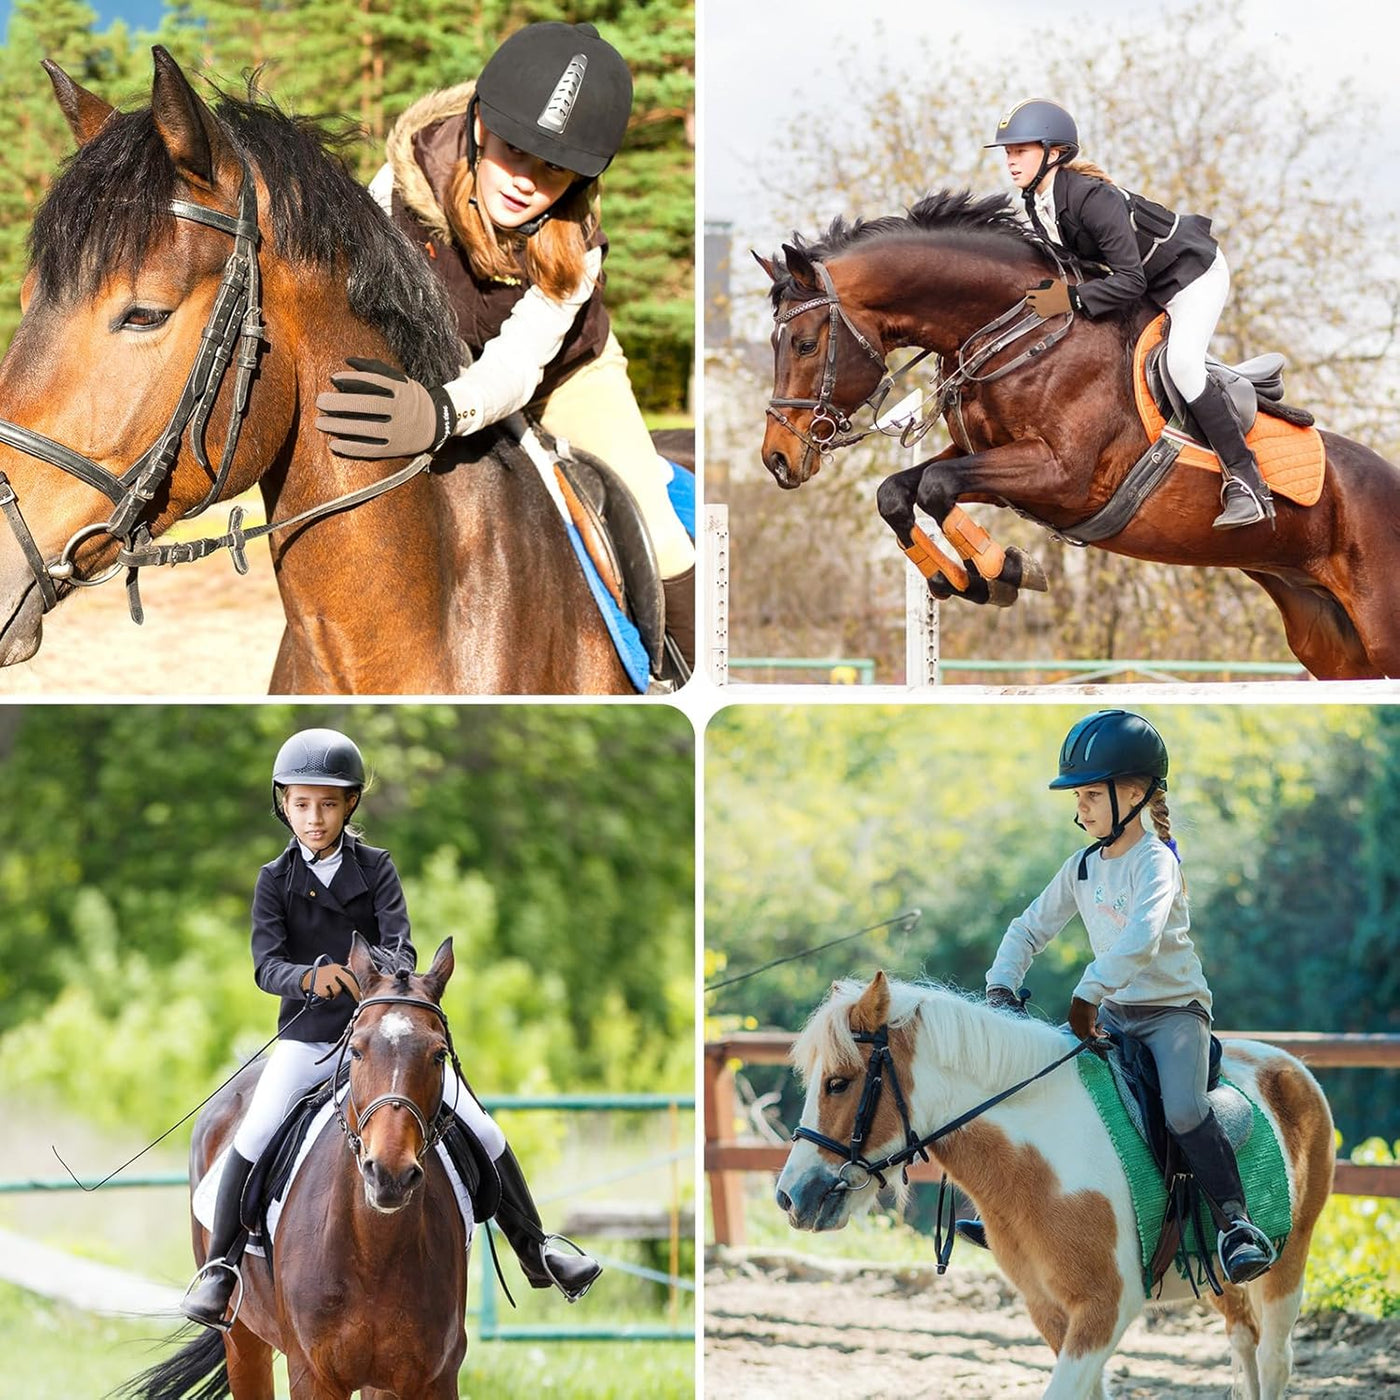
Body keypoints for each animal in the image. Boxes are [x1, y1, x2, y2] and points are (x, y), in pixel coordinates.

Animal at [121, 929, 470, 1400]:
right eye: (356, 1051)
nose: (389, 1174)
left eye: (437, 1055)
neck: (373, 1248)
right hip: (243, 1337)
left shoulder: (431, 1378)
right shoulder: (311, 1374)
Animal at [761, 193, 1400, 683]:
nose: (777, 458)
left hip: (1380, 633)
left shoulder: (1061, 475)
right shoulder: (993, 461)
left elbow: (937, 486)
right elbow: (899, 491)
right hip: (1333, 643)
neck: (1019, 331)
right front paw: (960, 579)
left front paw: (1005, 570)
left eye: (805, 344)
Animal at [778, 974, 1332, 1400]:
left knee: (1274, 1357)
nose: (791, 1196)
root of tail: (1290, 1066)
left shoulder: (1105, 1310)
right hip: (1219, 1274)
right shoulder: (1047, 1308)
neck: (1042, 1161)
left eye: (838, 1083)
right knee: (1244, 1344)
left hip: (1289, 1261)